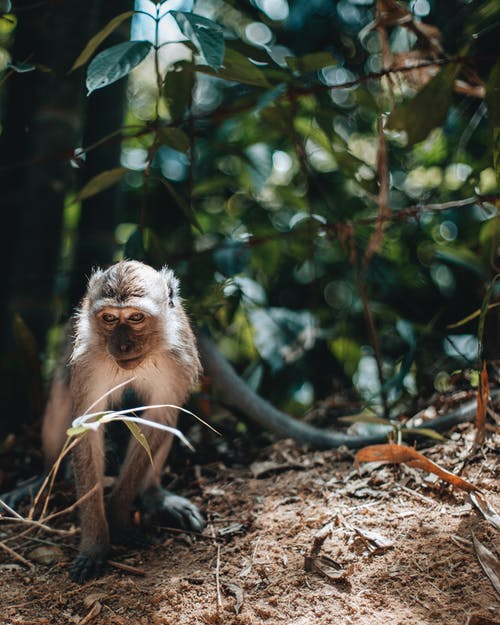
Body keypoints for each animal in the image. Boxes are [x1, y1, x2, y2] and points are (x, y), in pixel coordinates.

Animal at [31, 260, 202, 584]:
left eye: (135, 317)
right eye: (109, 318)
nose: (122, 345)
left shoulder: (178, 359)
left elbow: (160, 418)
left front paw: (118, 517)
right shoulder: (87, 361)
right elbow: (87, 426)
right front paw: (96, 542)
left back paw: (153, 494)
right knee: (61, 385)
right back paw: (47, 476)